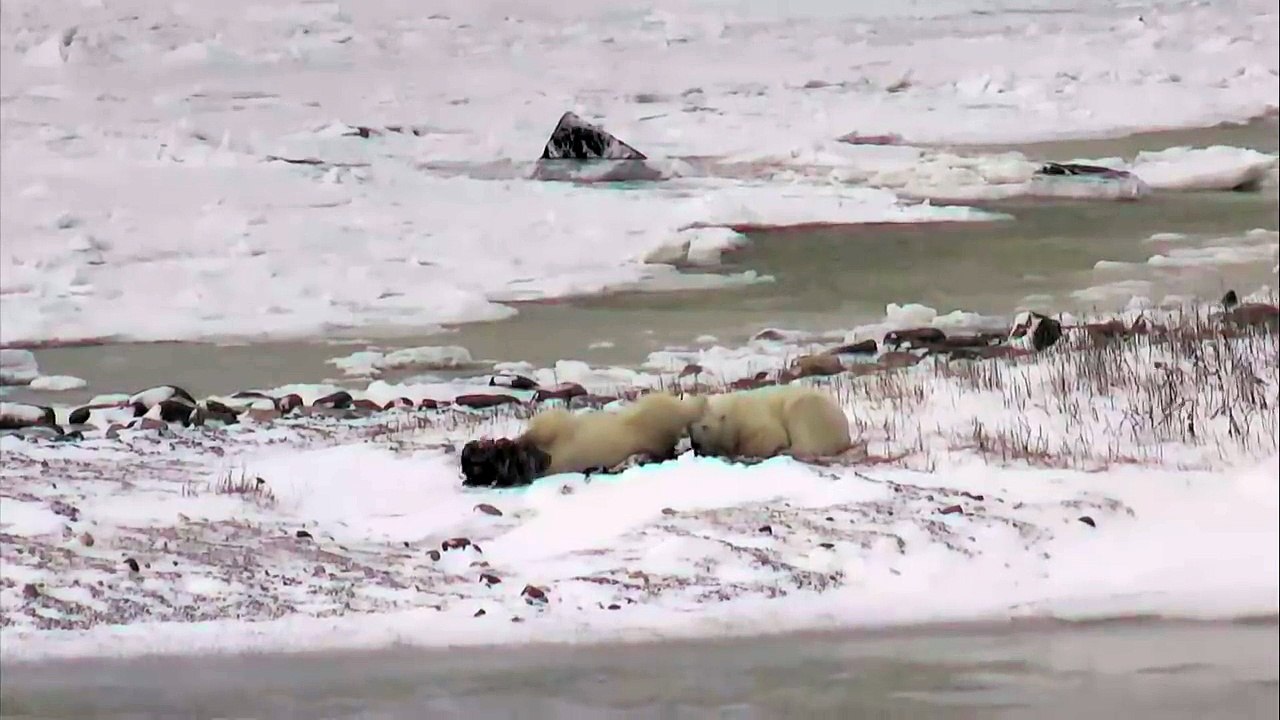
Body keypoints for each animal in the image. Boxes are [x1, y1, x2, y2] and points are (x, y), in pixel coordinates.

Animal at [687, 385, 852, 460]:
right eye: (690, 428)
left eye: (705, 427)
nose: (696, 445)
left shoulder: (753, 416)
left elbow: (771, 435)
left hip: (814, 411)